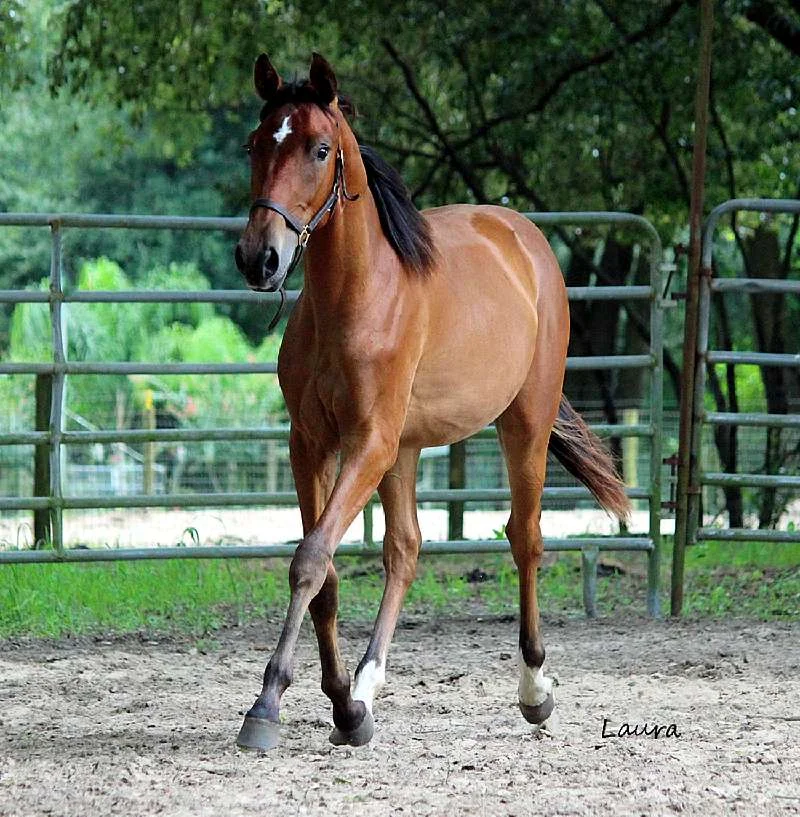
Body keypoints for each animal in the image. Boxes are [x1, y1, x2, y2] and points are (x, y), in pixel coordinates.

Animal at [233, 52, 630, 751]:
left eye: (319, 149)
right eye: (257, 144)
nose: (260, 258)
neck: (356, 298)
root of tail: (522, 236)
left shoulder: (367, 442)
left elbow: (310, 560)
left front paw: (267, 704)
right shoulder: (312, 445)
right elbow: (326, 571)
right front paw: (341, 703)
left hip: (522, 424)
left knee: (524, 538)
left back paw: (534, 690)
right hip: (407, 450)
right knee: (406, 550)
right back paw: (365, 691)